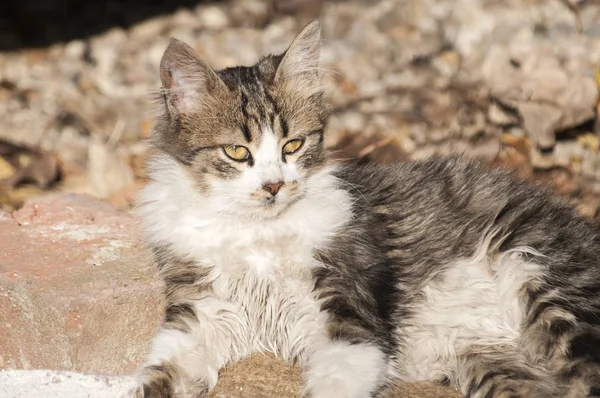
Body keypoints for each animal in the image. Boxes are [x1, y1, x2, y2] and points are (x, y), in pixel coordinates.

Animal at [135, 21, 600, 398]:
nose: (274, 185)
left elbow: (337, 380)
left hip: (553, 285)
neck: (256, 236)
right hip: (491, 359)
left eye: (293, 145)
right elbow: (161, 372)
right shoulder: (202, 309)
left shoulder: (349, 310)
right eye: (236, 151)